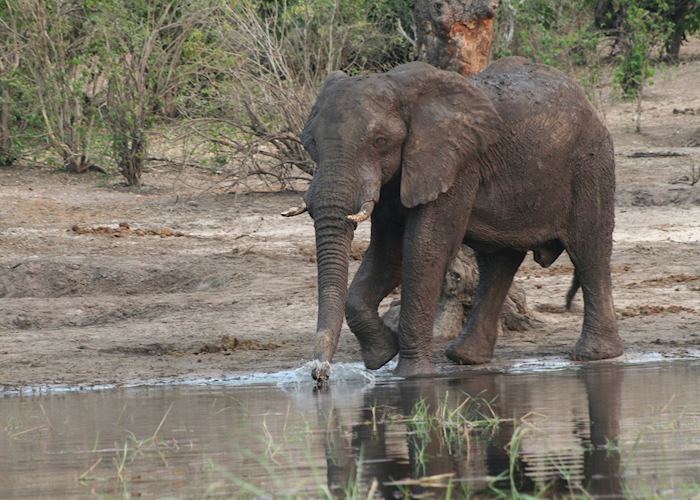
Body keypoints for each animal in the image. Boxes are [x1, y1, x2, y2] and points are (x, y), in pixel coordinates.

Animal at [284, 56, 624, 380]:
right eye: (310, 143)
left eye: (380, 140)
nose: (320, 374)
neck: (400, 87)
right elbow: (388, 253)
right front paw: (381, 354)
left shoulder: (458, 164)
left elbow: (424, 249)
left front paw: (412, 376)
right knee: (499, 262)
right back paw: (466, 358)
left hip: (590, 164)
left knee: (588, 249)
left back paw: (594, 355)